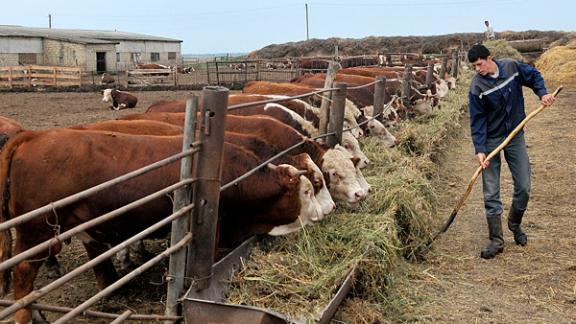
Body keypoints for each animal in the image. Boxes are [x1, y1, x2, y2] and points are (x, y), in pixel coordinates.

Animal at [0, 129, 324, 324]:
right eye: (309, 190)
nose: (326, 213)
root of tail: (32, 136)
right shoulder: (216, 228)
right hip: (37, 231)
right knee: (23, 272)